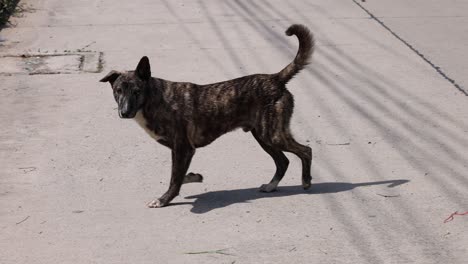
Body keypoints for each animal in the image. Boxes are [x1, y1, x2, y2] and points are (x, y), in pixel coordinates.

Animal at [101, 23, 316, 207]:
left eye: (136, 91)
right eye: (118, 91)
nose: (124, 112)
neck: (155, 99)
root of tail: (275, 78)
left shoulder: (183, 149)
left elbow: (175, 178)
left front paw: (164, 199)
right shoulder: (182, 151)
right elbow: (180, 175)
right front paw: (192, 177)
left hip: (272, 135)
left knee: (306, 151)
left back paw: (306, 181)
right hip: (263, 136)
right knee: (283, 161)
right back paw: (272, 185)